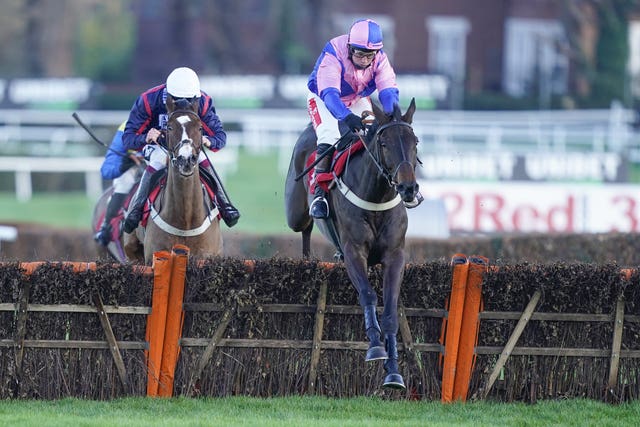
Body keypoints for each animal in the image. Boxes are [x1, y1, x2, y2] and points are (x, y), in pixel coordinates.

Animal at [122, 96, 222, 264]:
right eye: (169, 127)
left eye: (200, 128)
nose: (186, 159)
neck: (185, 221)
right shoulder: (154, 256)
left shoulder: (206, 256)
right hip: (131, 250)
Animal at [284, 98, 420, 390]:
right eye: (384, 143)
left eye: (414, 141)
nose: (408, 188)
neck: (377, 198)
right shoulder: (353, 252)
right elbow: (368, 294)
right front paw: (375, 347)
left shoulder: (395, 255)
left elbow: (390, 310)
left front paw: (393, 371)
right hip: (295, 212)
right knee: (305, 227)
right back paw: (306, 255)